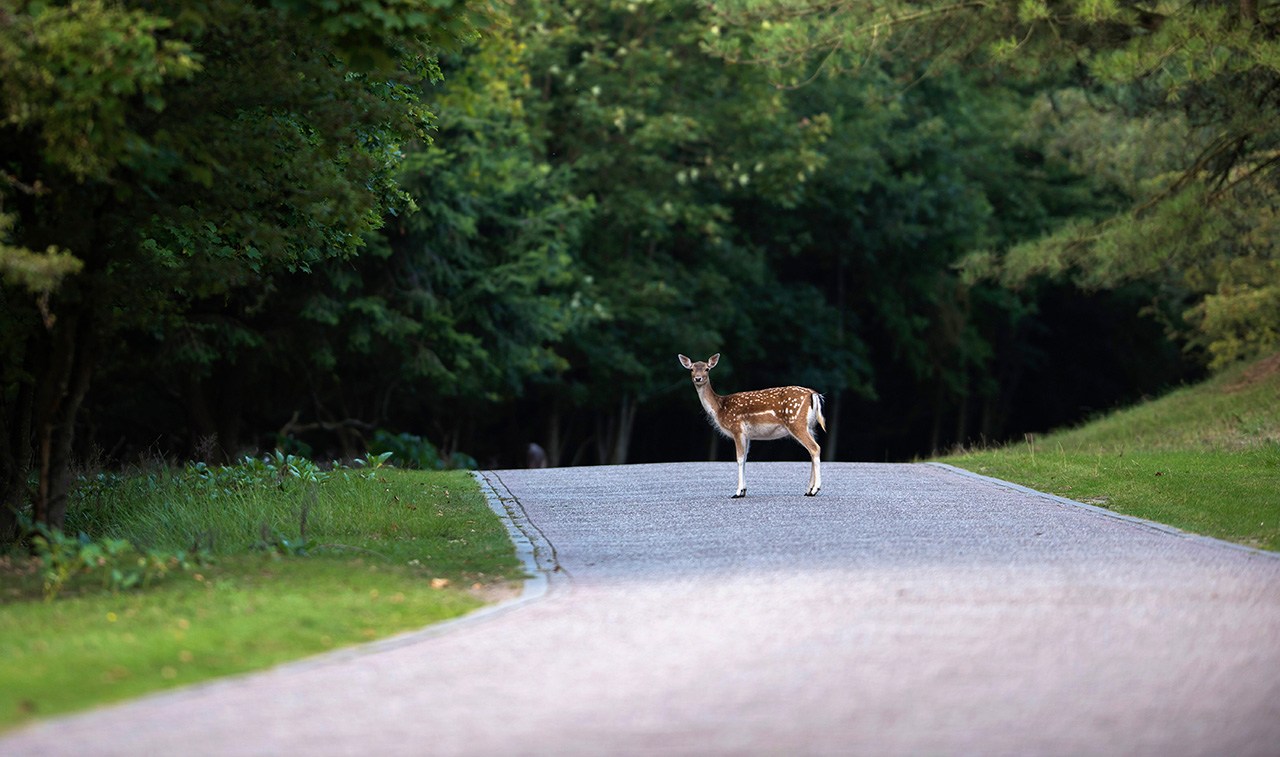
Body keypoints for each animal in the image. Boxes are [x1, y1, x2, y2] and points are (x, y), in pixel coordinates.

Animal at [678, 353, 825, 498]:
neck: (720, 408)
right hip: (810, 426)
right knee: (812, 451)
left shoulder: (737, 428)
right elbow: (745, 459)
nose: (698, 378)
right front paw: (744, 490)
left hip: (796, 423)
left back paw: (815, 489)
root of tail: (813, 394)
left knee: (815, 448)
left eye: (707, 369)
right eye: (691, 369)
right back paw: (808, 490)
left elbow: (739, 459)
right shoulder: (747, 435)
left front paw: (737, 492)